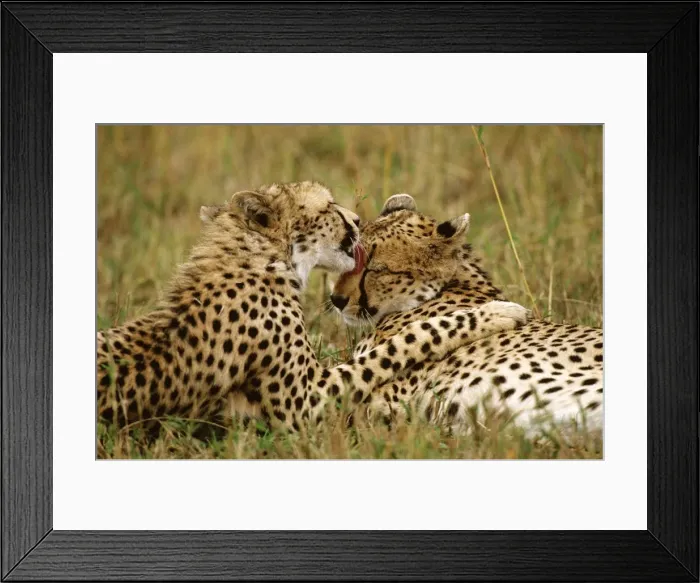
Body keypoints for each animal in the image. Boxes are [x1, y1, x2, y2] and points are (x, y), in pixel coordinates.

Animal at [97, 182, 532, 436]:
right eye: (329, 206)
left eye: (374, 268)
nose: (355, 217)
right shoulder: (304, 403)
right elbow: (410, 339)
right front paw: (499, 312)